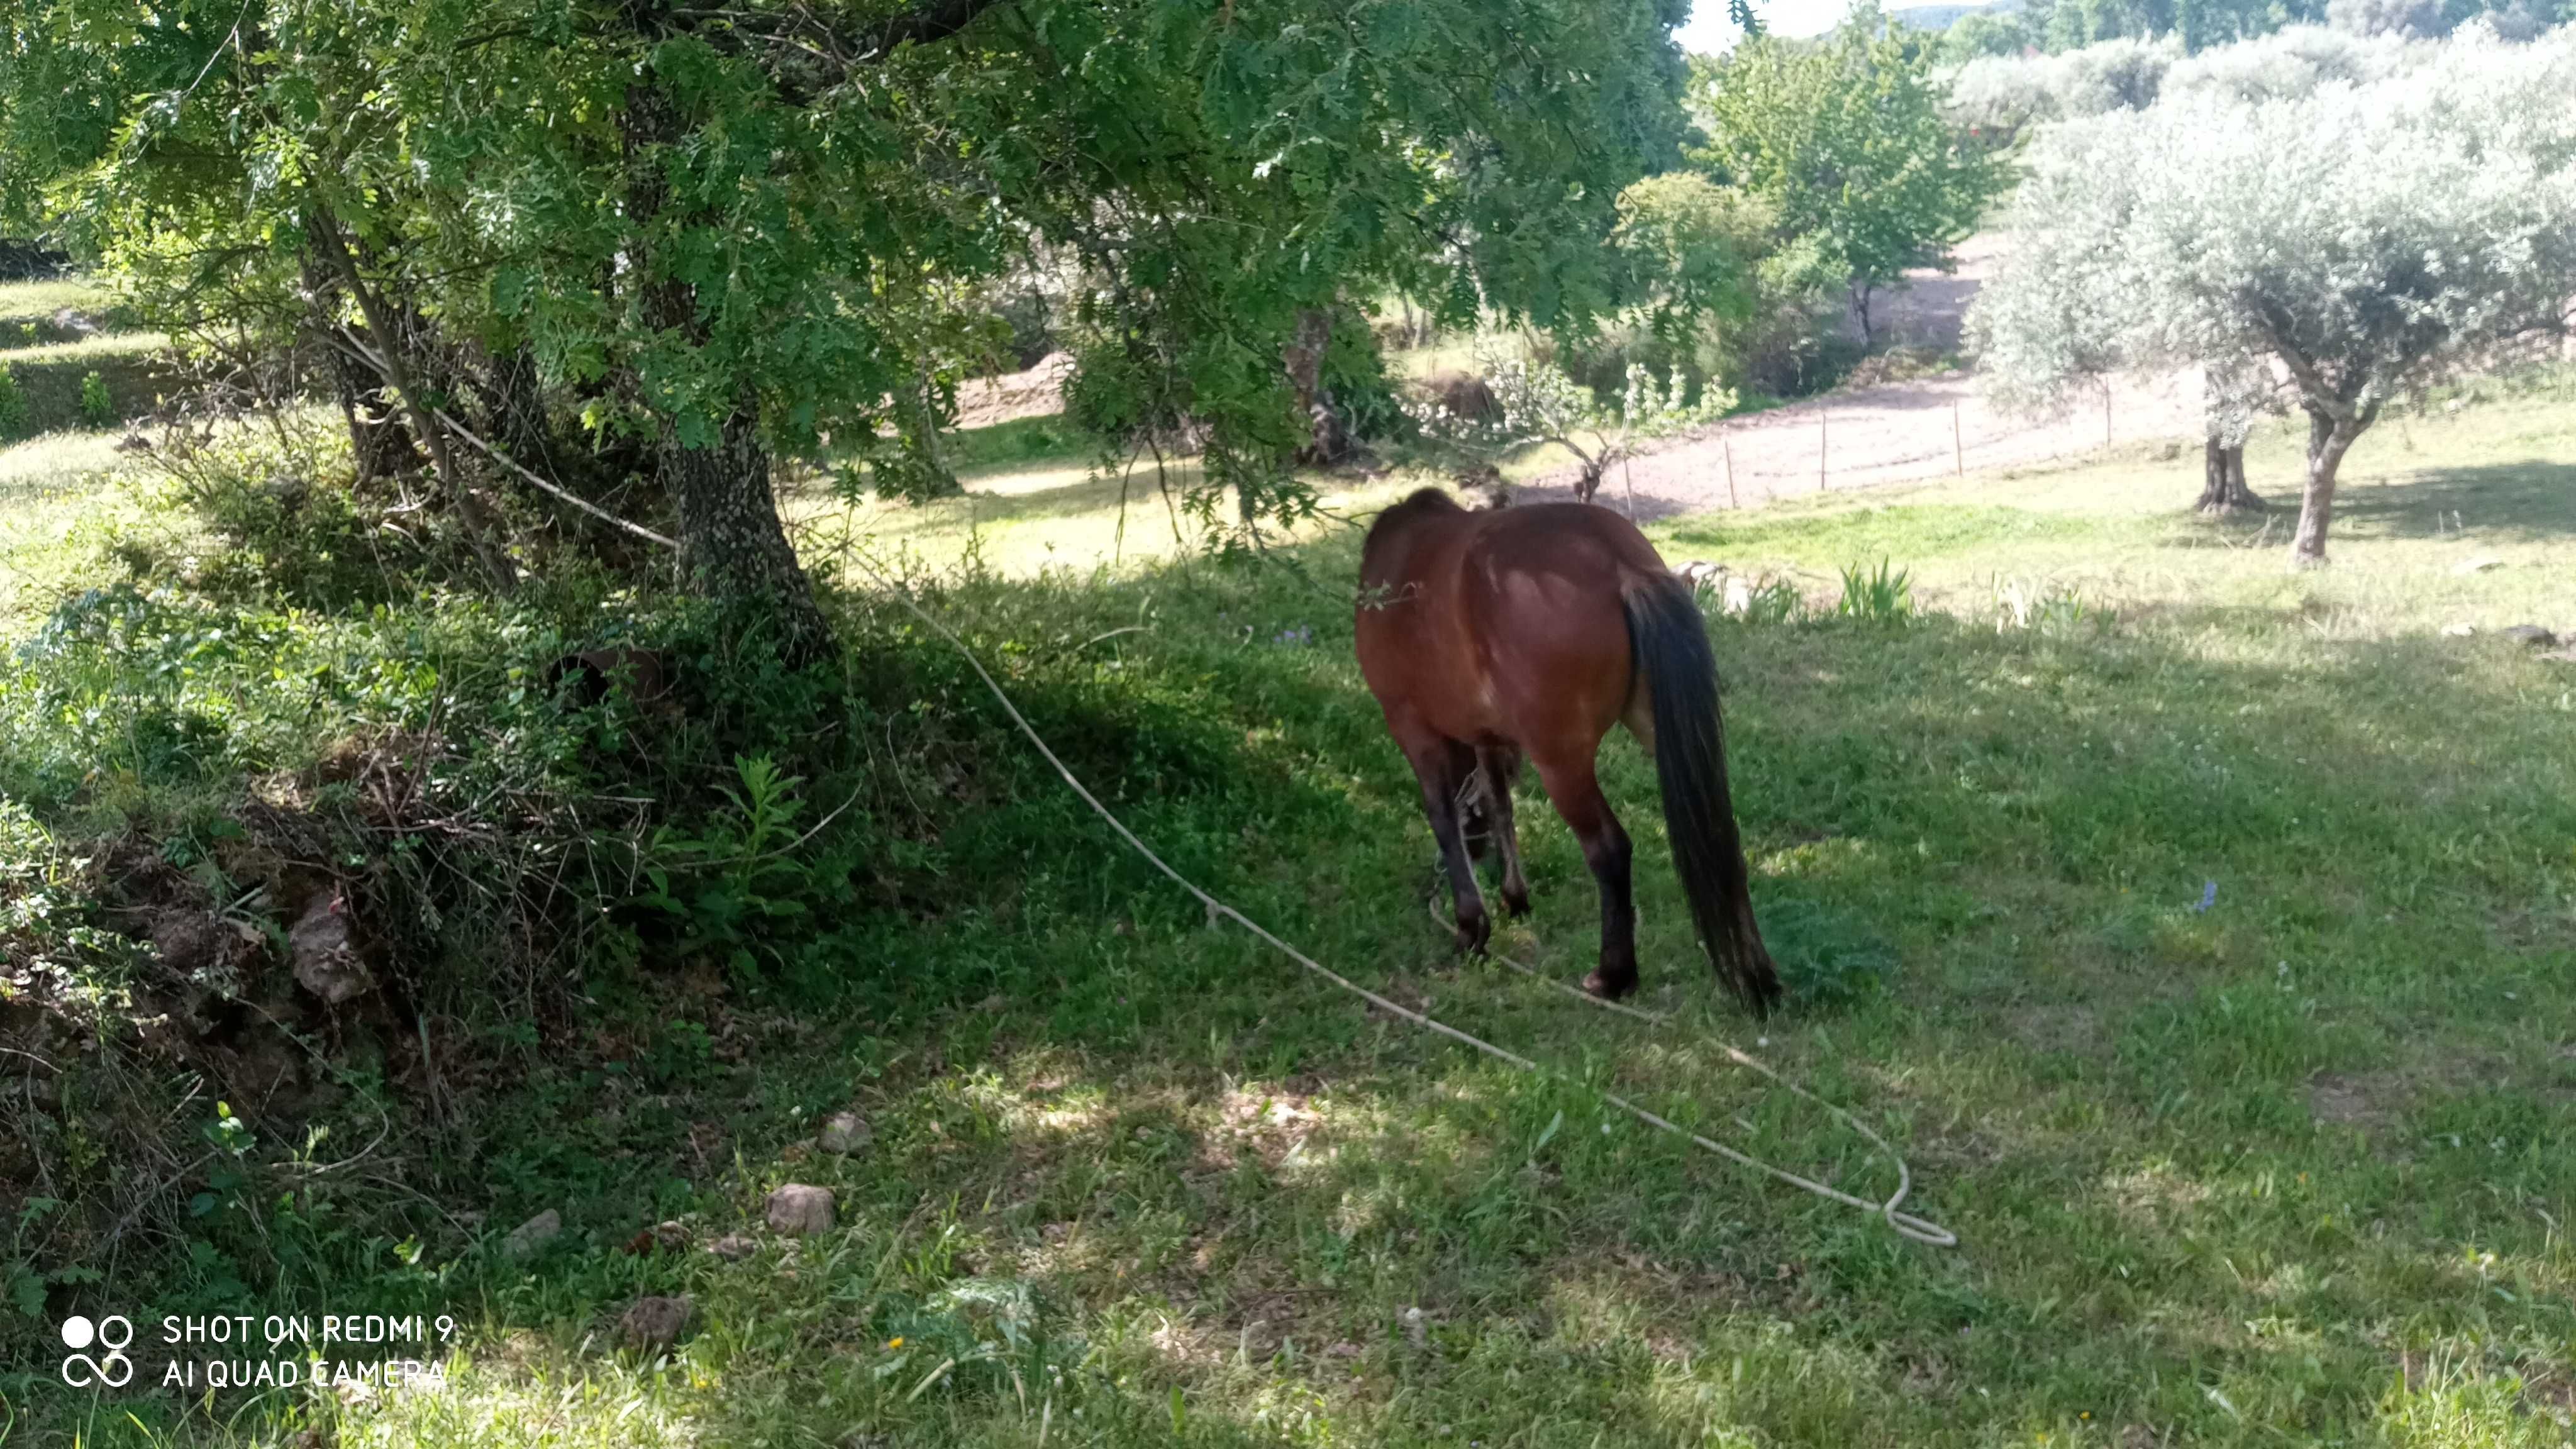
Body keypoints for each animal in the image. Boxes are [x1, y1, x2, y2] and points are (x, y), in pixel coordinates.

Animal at [1360, 489, 1782, 1011]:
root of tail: (1617, 562)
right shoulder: (1487, 735)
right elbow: (1499, 802)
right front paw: (1514, 897)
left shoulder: (1413, 728)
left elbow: (1443, 817)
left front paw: (1471, 928)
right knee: (1719, 833)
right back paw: (1758, 978)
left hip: (1561, 764)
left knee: (1608, 848)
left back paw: (1613, 975)